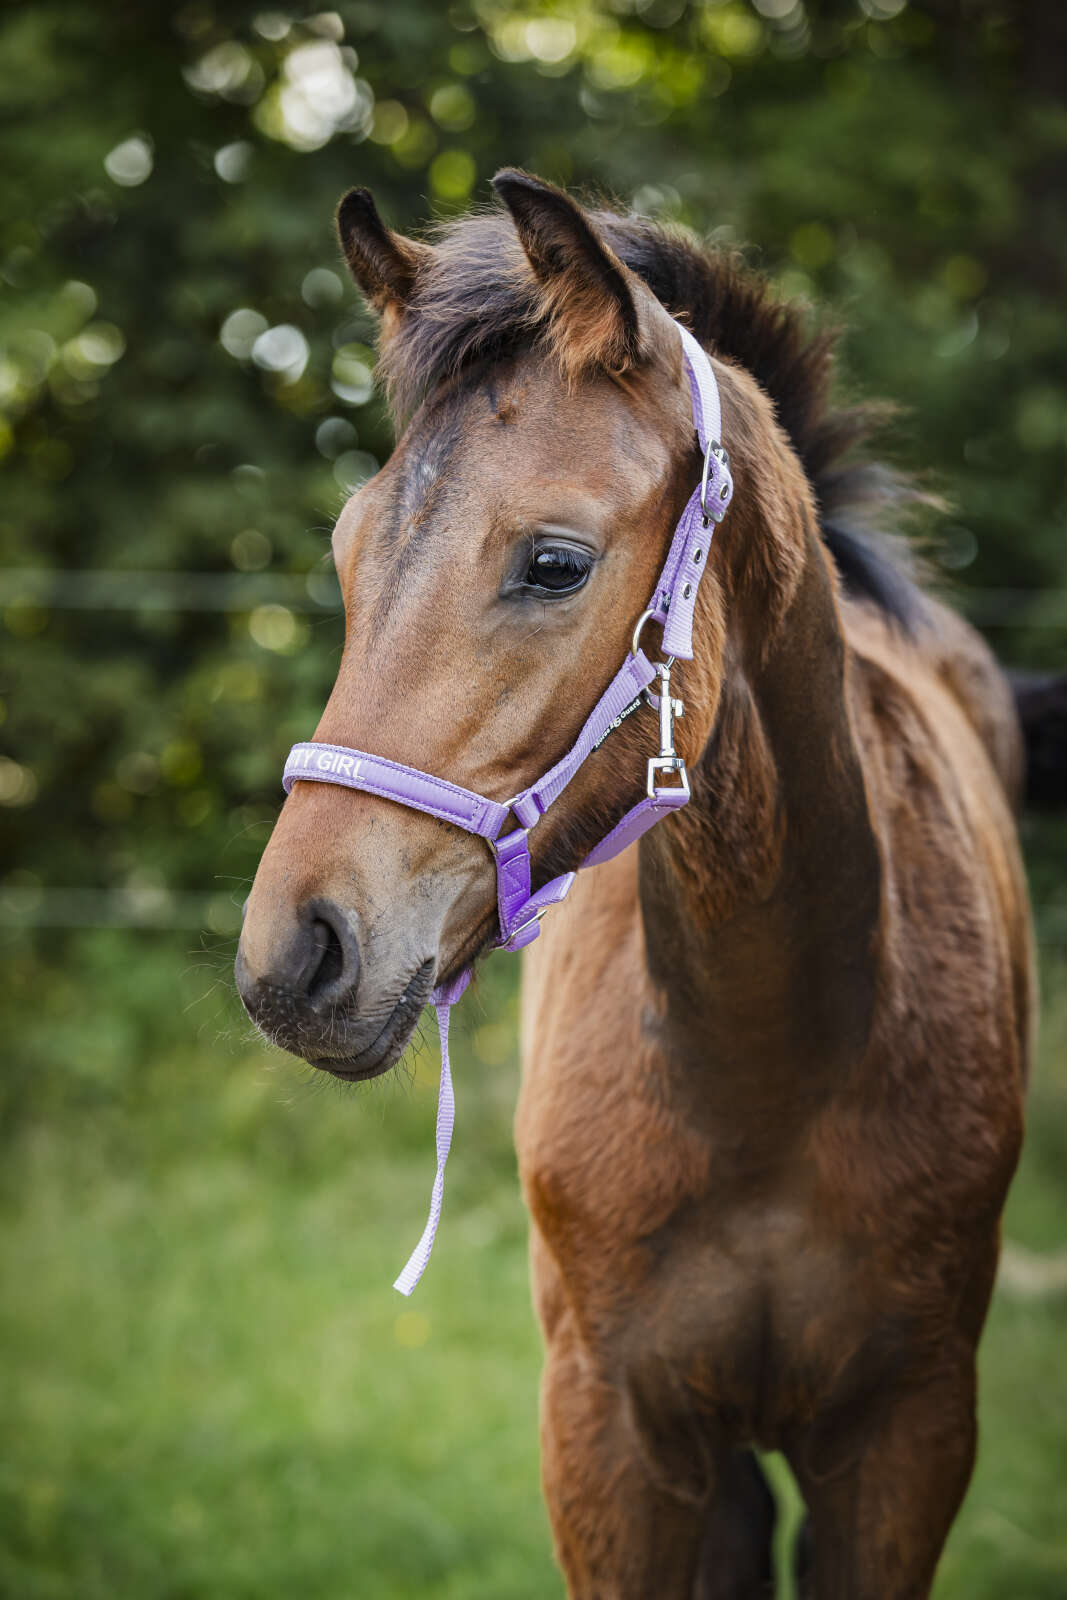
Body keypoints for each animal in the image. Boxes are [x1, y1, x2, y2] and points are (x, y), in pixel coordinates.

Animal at [236, 170, 1036, 1598]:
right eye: (344, 551)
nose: (294, 955)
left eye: (552, 561)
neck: (767, 1065)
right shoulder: (609, 1439)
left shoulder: (904, 1439)